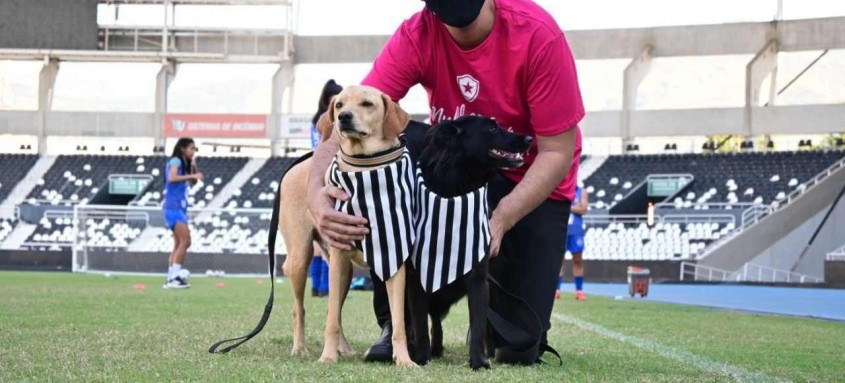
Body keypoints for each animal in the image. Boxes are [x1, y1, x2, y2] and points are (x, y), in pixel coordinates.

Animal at [280, 85, 416, 368]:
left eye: (367, 104)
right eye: (339, 104)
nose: (343, 117)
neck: (366, 170)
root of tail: (296, 166)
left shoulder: (395, 259)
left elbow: (398, 321)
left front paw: (404, 360)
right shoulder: (339, 258)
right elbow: (331, 319)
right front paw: (327, 357)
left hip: (343, 272)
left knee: (333, 309)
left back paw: (344, 348)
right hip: (302, 257)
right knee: (300, 308)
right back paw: (300, 348)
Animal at [406, 116, 532, 368]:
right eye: (492, 128)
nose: (529, 139)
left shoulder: (479, 277)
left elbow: (478, 324)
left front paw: (478, 361)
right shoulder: (417, 278)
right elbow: (420, 324)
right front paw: (421, 357)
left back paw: (490, 352)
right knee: (434, 319)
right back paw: (433, 349)